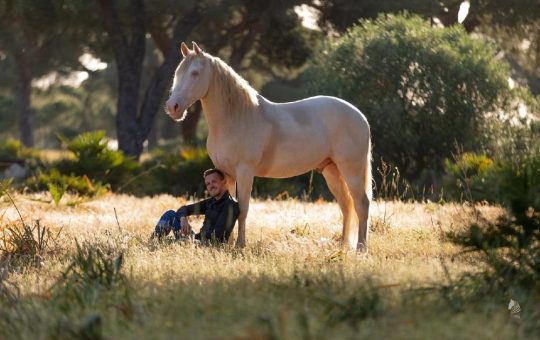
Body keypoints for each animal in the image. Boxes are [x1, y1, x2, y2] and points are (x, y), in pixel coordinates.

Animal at [167, 41, 374, 250]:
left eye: (195, 73)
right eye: (177, 73)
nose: (172, 107)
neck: (237, 117)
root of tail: (360, 116)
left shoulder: (245, 172)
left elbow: (243, 208)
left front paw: (240, 245)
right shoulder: (227, 173)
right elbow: (232, 206)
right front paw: (228, 243)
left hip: (351, 171)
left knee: (361, 204)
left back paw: (361, 248)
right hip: (332, 170)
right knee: (347, 206)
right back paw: (343, 246)